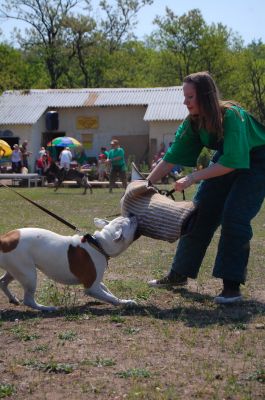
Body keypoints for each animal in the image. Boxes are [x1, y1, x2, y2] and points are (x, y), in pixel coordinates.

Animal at [0, 216, 136, 312]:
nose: (133, 215)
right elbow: (111, 298)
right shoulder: (92, 287)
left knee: (2, 282)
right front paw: (125, 302)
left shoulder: (97, 282)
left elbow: (108, 291)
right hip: (28, 274)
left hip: (15, 270)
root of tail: (4, 239)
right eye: (130, 222)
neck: (98, 243)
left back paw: (13, 298)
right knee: (28, 300)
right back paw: (47, 308)